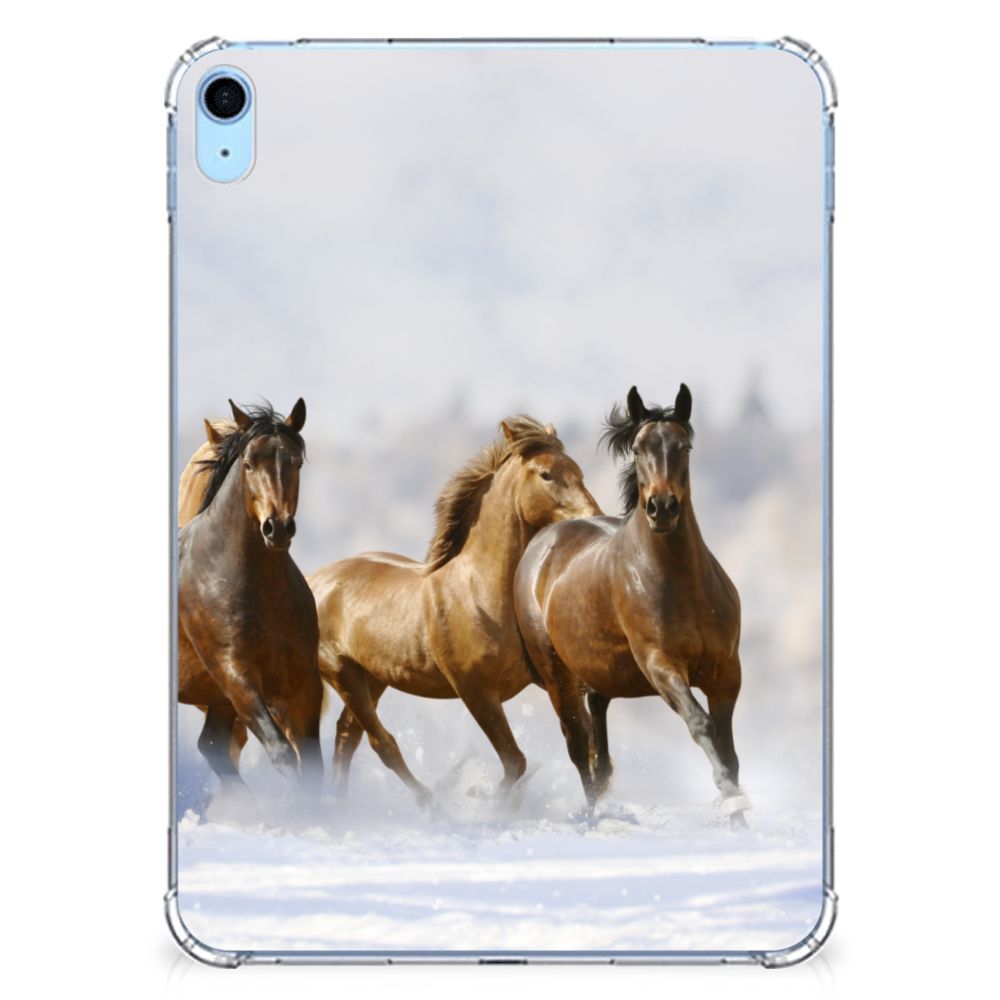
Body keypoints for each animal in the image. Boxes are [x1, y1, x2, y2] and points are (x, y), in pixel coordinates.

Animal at [177, 399, 324, 792]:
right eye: (248, 464)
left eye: (296, 461)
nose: (277, 527)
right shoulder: (237, 678)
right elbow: (282, 752)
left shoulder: (303, 683)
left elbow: (312, 763)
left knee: (213, 745)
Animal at [308, 417, 601, 806]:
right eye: (546, 474)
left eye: (578, 471)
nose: (594, 518)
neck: (480, 593)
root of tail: (313, 581)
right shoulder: (475, 691)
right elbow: (516, 762)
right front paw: (488, 804)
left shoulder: (555, 680)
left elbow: (580, 742)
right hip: (343, 674)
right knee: (380, 742)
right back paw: (430, 803)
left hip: (373, 677)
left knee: (346, 736)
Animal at [513, 385, 750, 826]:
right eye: (639, 449)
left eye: (684, 446)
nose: (662, 507)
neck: (681, 584)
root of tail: (542, 542)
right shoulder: (660, 664)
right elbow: (702, 725)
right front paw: (731, 800)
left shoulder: (726, 671)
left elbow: (728, 749)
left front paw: (739, 817)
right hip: (557, 677)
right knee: (579, 747)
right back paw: (592, 816)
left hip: (600, 675)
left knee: (598, 745)